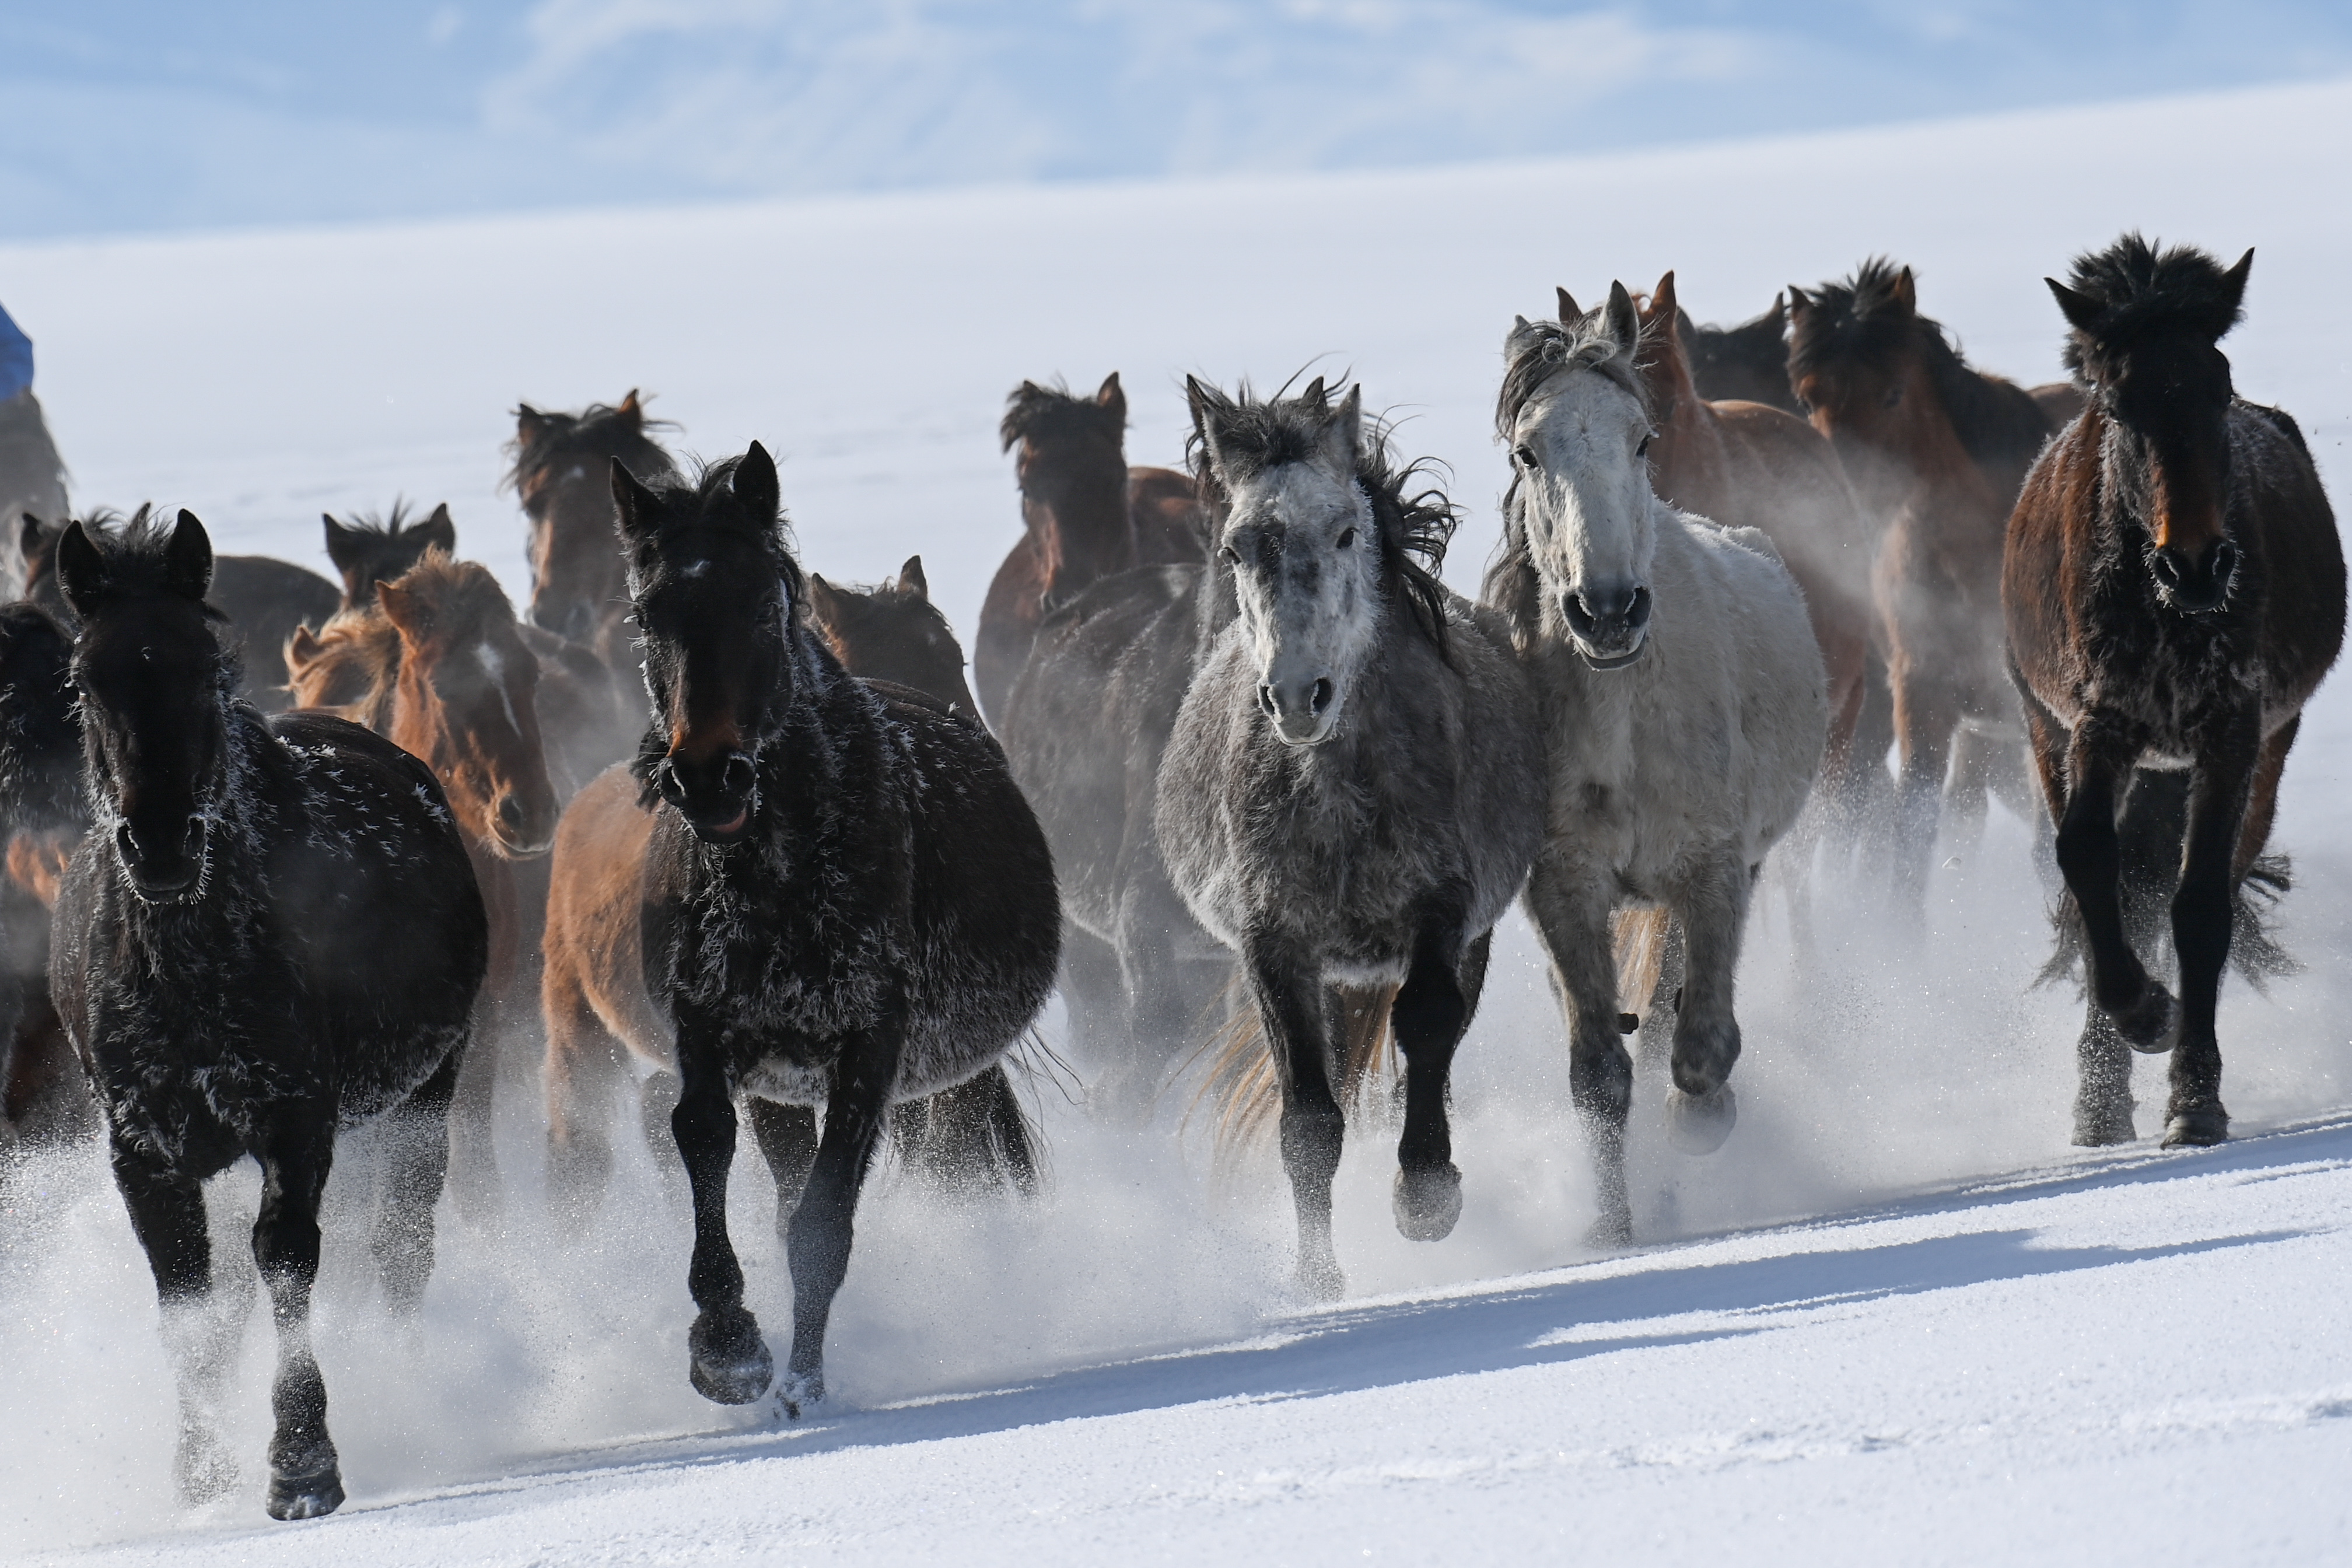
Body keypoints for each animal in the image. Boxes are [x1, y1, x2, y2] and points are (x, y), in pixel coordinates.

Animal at [549, 446, 1057, 1415]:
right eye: (647, 613)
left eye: (761, 603)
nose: (708, 777)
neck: (779, 875)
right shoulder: (714, 1035)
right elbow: (707, 1145)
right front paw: (729, 1347)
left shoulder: (872, 1045)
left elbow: (824, 1223)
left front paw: (801, 1384)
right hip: (770, 1082)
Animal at [1155, 376, 1542, 1297]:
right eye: (1236, 550)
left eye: (1342, 532)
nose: (1300, 696)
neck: (1336, 799)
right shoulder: (1275, 945)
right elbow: (1307, 1117)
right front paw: (1315, 1278)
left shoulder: (1443, 909)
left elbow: (1428, 1025)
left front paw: (1427, 1195)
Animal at [1484, 285, 1827, 1245]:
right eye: (1528, 451)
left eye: (1641, 439)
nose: (1607, 611)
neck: (1624, 711)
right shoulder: (1565, 887)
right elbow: (1600, 1073)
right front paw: (1613, 1233)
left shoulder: (1711, 869)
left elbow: (1702, 1047)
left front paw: (1697, 1125)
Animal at [2004, 236, 2344, 1149]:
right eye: (2119, 406)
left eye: (2218, 387)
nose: (2196, 565)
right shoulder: (2100, 724)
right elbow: (2090, 862)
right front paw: (2139, 1022)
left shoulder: (2231, 732)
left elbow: (2198, 908)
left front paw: (2194, 1094)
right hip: (2055, 739)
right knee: (2119, 882)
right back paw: (2103, 1096)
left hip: (2262, 753)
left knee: (2205, 887)